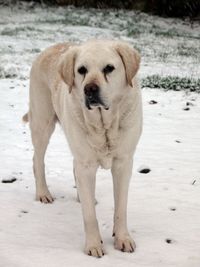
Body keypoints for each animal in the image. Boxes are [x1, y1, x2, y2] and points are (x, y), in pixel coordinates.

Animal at [23, 39, 142, 258]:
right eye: (81, 70)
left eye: (109, 68)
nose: (90, 89)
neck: (104, 125)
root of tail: (51, 47)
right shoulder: (85, 165)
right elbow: (89, 215)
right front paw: (94, 245)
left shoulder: (123, 162)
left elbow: (121, 208)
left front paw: (123, 239)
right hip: (43, 123)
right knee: (38, 160)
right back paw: (43, 193)